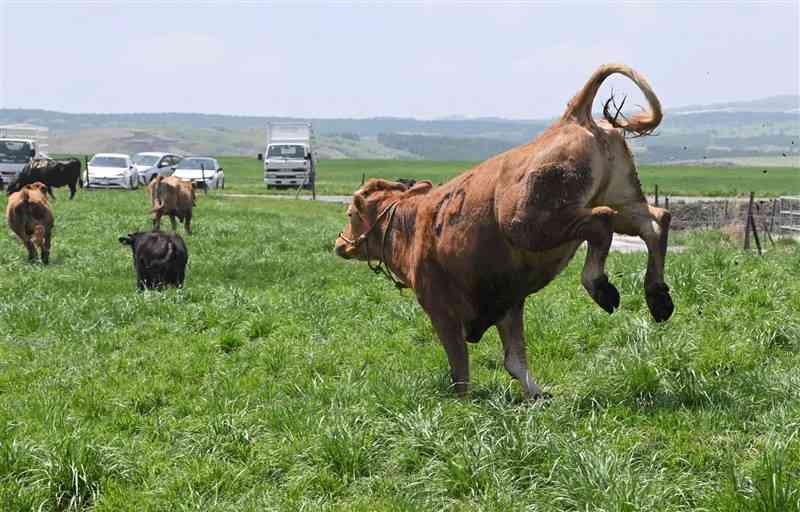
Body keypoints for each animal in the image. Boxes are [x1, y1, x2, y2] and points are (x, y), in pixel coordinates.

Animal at [332, 64, 676, 400]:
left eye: (350, 214)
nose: (339, 243)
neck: (413, 224)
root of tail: (571, 119)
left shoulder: (442, 311)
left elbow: (460, 370)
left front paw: (462, 405)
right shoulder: (508, 300)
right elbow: (514, 359)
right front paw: (537, 395)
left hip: (532, 225)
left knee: (602, 222)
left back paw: (601, 286)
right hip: (622, 200)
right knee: (656, 221)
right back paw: (657, 296)